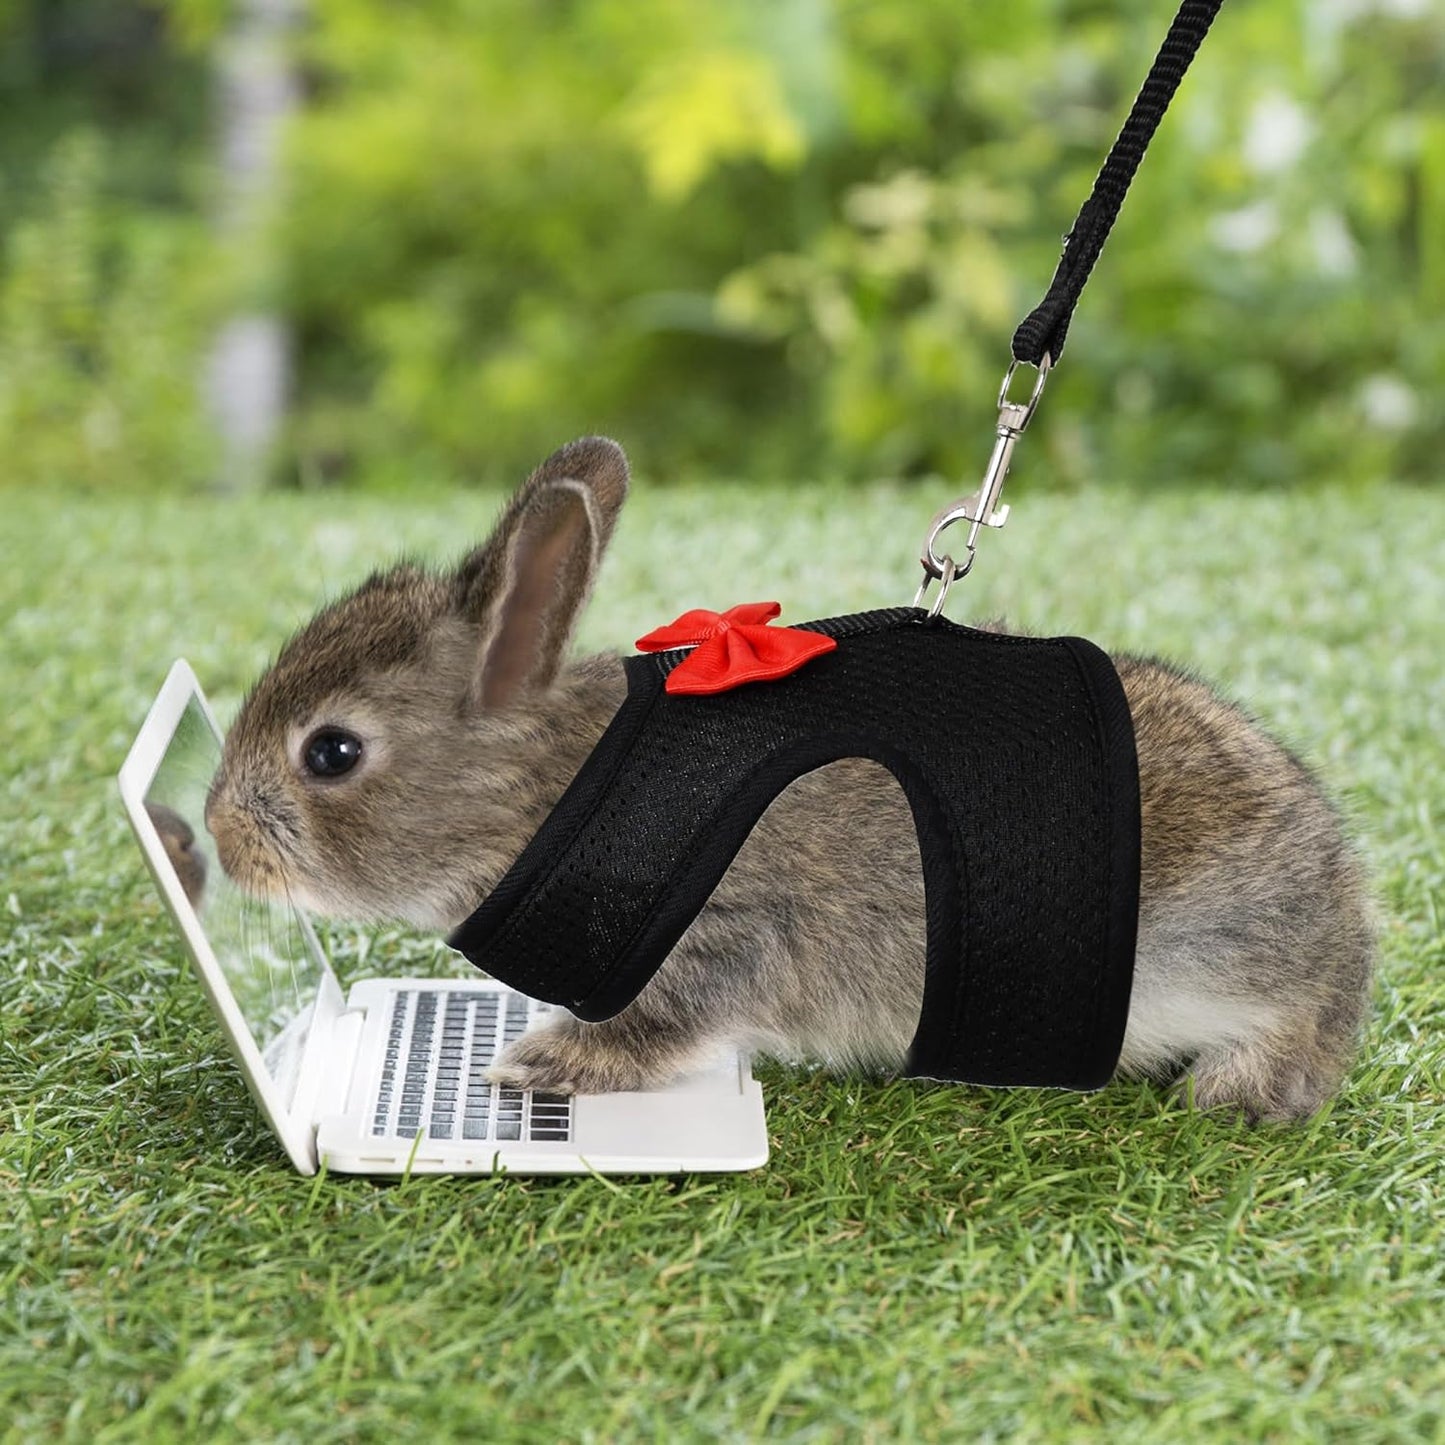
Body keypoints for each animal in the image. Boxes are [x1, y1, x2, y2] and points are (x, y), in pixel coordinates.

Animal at [205, 436, 1375, 1121]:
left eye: (331, 753)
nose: (218, 835)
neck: (545, 794)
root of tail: (1344, 904)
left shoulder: (726, 935)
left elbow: (662, 1029)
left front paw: (538, 1065)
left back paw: (1241, 1088)